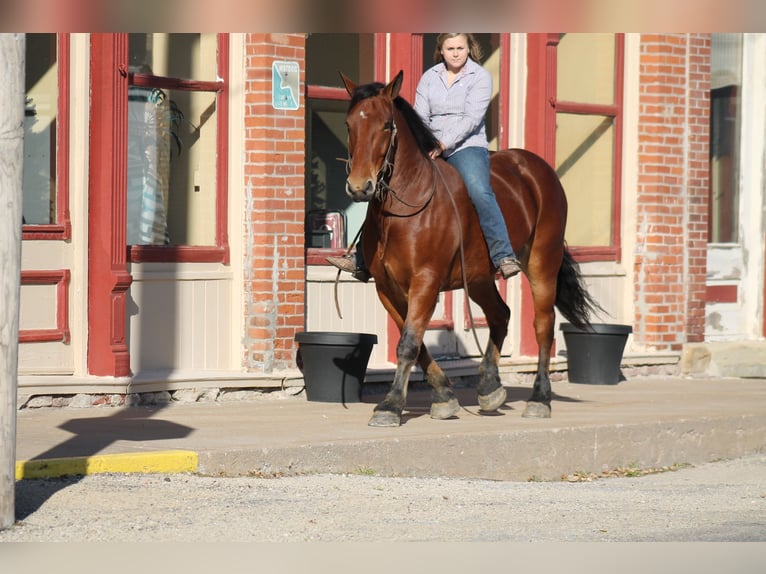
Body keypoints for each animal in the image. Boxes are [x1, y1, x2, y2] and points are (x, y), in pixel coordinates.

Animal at [340, 70, 602, 427]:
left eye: (385, 125)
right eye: (349, 124)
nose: (359, 186)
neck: (405, 205)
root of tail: (536, 168)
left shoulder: (425, 282)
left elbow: (408, 343)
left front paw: (390, 406)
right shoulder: (386, 288)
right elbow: (416, 342)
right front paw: (444, 396)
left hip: (542, 264)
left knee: (544, 327)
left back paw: (539, 399)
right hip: (478, 277)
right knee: (500, 315)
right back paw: (490, 388)